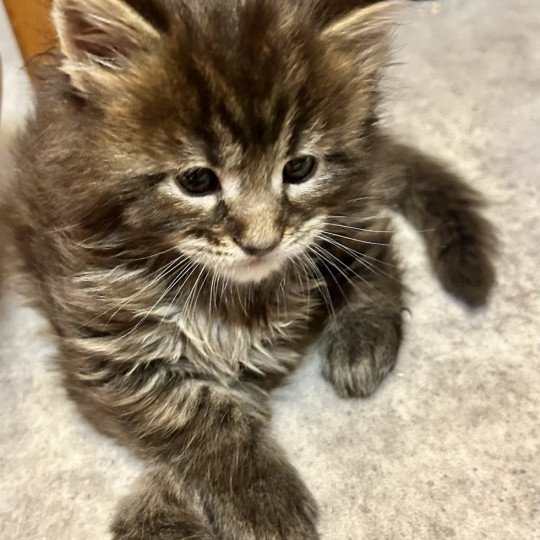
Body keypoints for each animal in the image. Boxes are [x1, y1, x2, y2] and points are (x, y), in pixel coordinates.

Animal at [4, 0, 496, 536]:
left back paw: (363, 336)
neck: (215, 289)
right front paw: (248, 500)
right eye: (197, 181)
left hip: (345, 206)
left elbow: (225, 406)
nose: (261, 243)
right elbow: (199, 417)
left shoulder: (273, 340)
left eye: (299, 168)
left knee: (376, 240)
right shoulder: (103, 347)